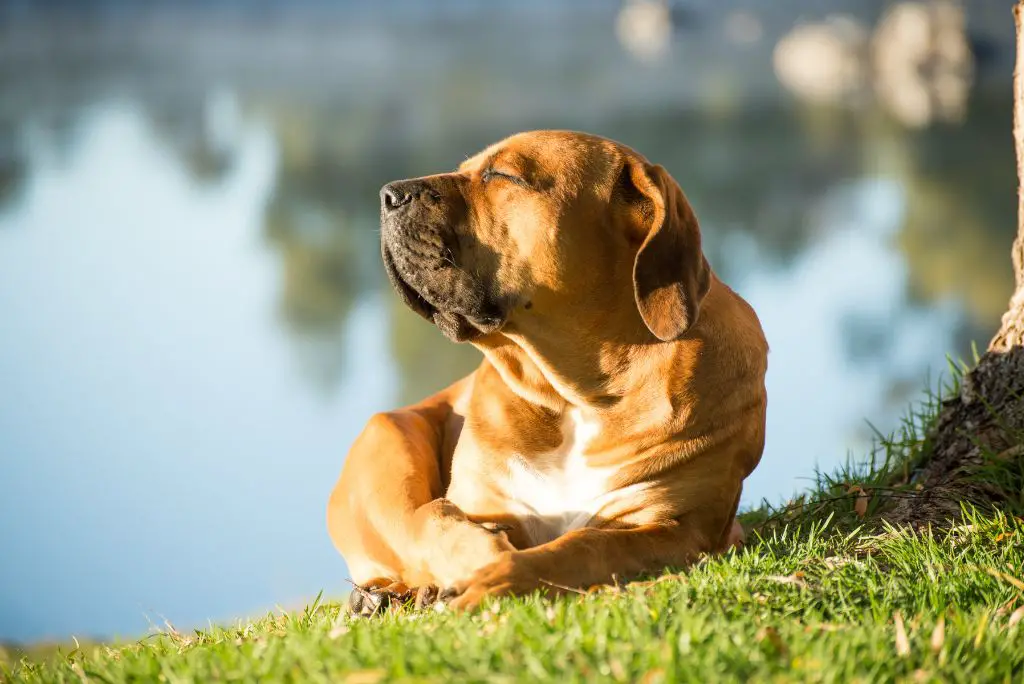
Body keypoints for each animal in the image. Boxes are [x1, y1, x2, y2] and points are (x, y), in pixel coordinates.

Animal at [327, 131, 770, 610]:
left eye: (502, 175)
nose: (389, 194)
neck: (574, 396)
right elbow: (434, 520)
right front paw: (478, 558)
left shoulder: (676, 526)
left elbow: (582, 547)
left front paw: (496, 577)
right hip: (388, 438)